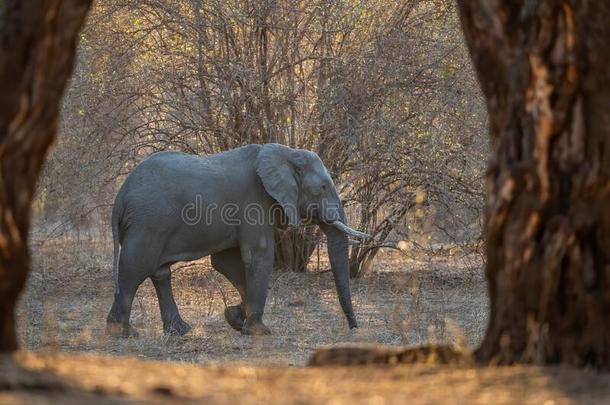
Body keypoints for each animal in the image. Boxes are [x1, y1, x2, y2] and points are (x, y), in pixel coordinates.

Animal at [105, 144, 366, 336]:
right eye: (322, 188)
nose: (354, 328)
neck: (286, 153)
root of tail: (120, 197)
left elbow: (226, 263)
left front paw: (235, 318)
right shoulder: (253, 203)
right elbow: (258, 255)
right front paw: (259, 331)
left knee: (159, 272)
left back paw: (179, 331)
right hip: (148, 222)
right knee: (135, 267)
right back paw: (122, 333)